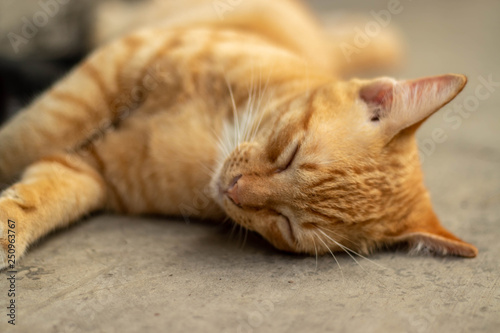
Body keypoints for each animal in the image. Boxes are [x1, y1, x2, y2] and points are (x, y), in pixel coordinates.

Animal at [0, 0, 476, 268]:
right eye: (290, 153)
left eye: (289, 226)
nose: (233, 189)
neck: (213, 137)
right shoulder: (111, 70)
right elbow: (24, 138)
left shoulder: (92, 170)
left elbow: (40, 196)